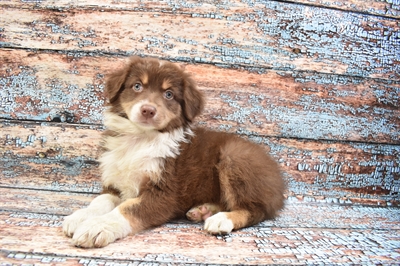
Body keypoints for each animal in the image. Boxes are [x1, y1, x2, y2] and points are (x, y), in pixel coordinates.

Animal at [62, 57, 286, 248]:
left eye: (168, 94)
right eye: (137, 86)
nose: (148, 110)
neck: (140, 139)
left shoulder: (165, 193)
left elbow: (127, 209)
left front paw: (97, 226)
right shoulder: (116, 183)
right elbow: (101, 201)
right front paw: (80, 216)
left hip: (235, 157)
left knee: (257, 210)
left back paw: (222, 219)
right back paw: (203, 210)